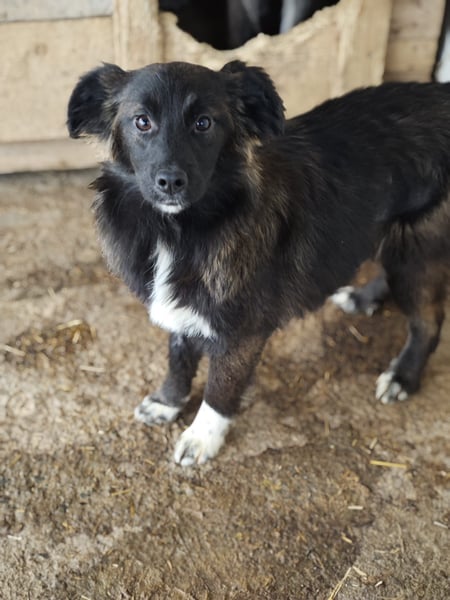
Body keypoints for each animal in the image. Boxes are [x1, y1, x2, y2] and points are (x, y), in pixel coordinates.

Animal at [68, 60, 450, 465]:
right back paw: (362, 299)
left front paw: (202, 438)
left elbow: (219, 390)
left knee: (429, 322)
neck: (182, 231)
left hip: (416, 250)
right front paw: (167, 403)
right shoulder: (183, 309)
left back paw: (403, 376)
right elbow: (178, 360)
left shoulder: (242, 333)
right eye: (141, 121)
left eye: (204, 123)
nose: (170, 181)